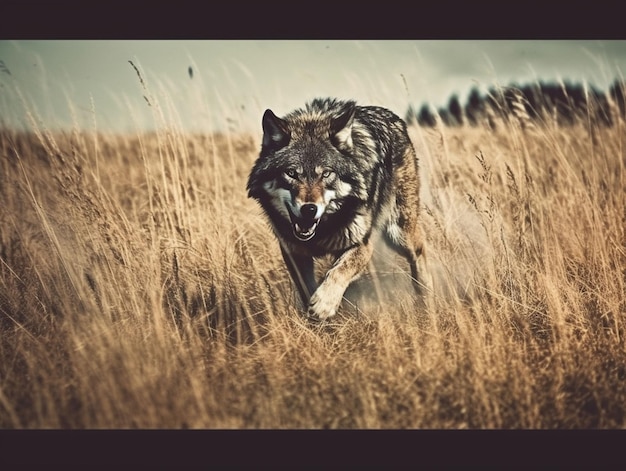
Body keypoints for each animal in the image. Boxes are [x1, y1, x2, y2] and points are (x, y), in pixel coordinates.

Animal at [245, 98, 428, 320]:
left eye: (326, 174)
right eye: (291, 173)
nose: (309, 209)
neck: (322, 231)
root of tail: (394, 118)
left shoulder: (362, 244)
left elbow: (339, 271)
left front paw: (324, 304)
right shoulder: (293, 252)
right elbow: (307, 288)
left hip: (398, 234)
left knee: (420, 251)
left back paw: (426, 297)